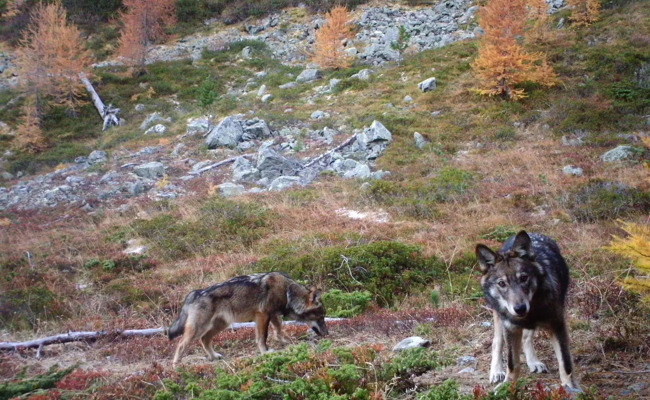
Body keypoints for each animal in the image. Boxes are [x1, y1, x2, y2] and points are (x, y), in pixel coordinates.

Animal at [167, 272, 328, 365]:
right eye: (320, 317)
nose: (327, 334)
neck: (287, 292)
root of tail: (193, 294)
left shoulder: (273, 315)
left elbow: (278, 332)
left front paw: (286, 342)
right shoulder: (262, 315)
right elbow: (263, 337)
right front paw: (265, 353)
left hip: (220, 325)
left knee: (205, 340)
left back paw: (214, 356)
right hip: (199, 329)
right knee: (181, 344)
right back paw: (176, 367)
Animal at [475, 231, 580, 390]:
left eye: (524, 278)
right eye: (502, 283)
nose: (520, 309)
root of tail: (533, 233)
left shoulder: (558, 325)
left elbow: (565, 362)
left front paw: (568, 387)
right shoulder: (511, 328)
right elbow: (512, 364)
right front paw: (507, 387)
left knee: (526, 338)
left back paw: (534, 362)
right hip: (499, 317)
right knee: (496, 342)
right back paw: (496, 371)